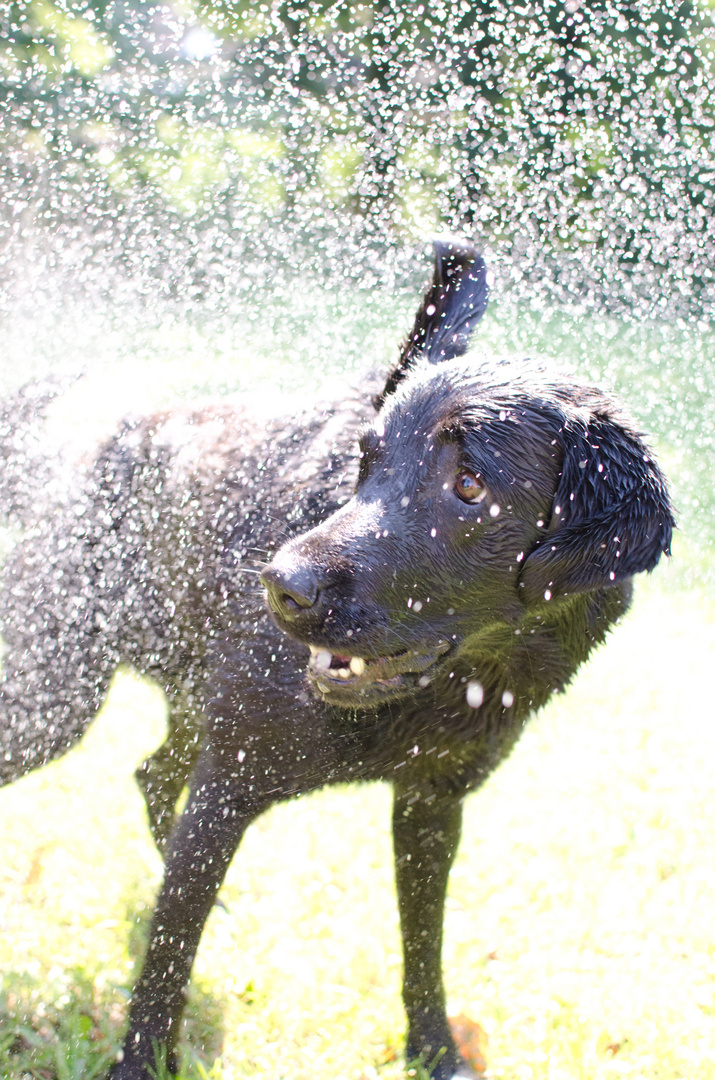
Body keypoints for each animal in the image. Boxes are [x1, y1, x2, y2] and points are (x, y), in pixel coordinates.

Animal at [0, 240, 673, 1075]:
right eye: (367, 461)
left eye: (469, 485)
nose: (279, 584)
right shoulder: (229, 786)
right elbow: (165, 966)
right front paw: (139, 1064)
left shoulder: (431, 805)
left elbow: (423, 949)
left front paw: (434, 1051)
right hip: (56, 698)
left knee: (152, 773)